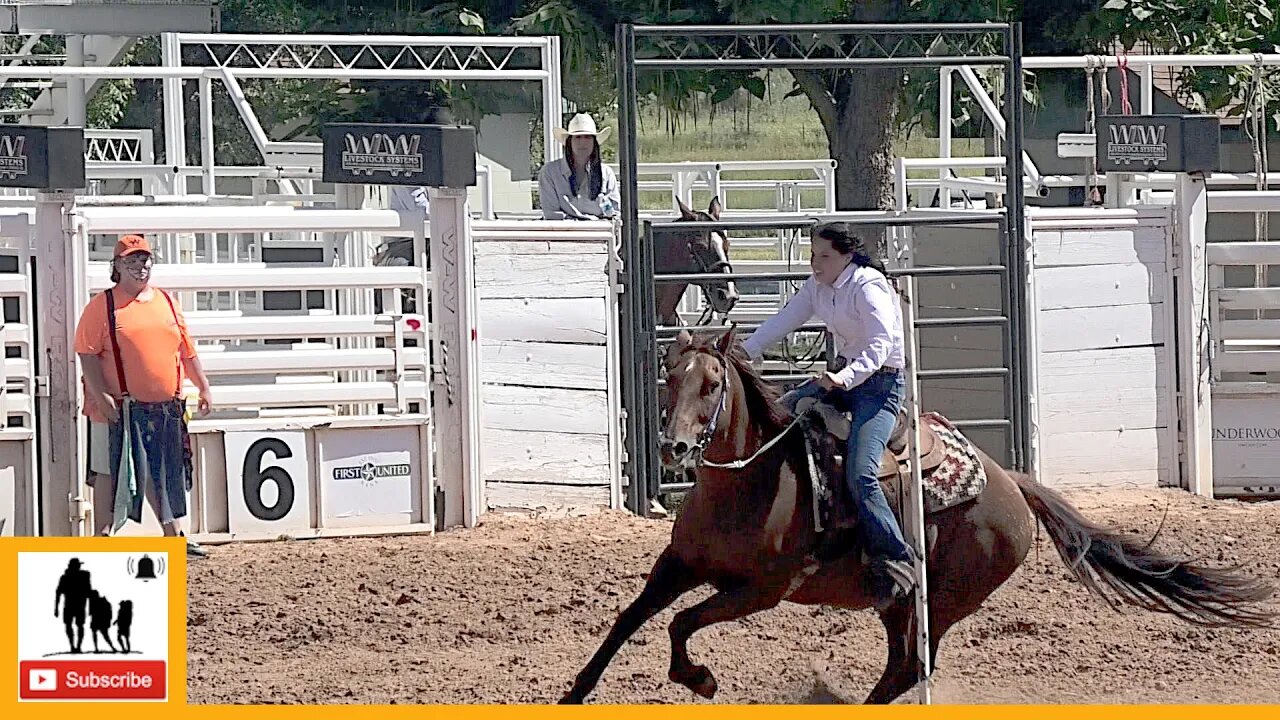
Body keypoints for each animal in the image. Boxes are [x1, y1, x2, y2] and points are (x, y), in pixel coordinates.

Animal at [563, 325, 1280, 702]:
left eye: (712, 385)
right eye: (670, 377)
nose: (675, 448)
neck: (752, 481)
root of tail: (1011, 483)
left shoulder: (761, 591)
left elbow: (680, 624)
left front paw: (700, 677)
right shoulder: (679, 563)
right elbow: (630, 619)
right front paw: (575, 690)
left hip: (950, 596)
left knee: (913, 666)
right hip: (899, 599)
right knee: (900, 665)